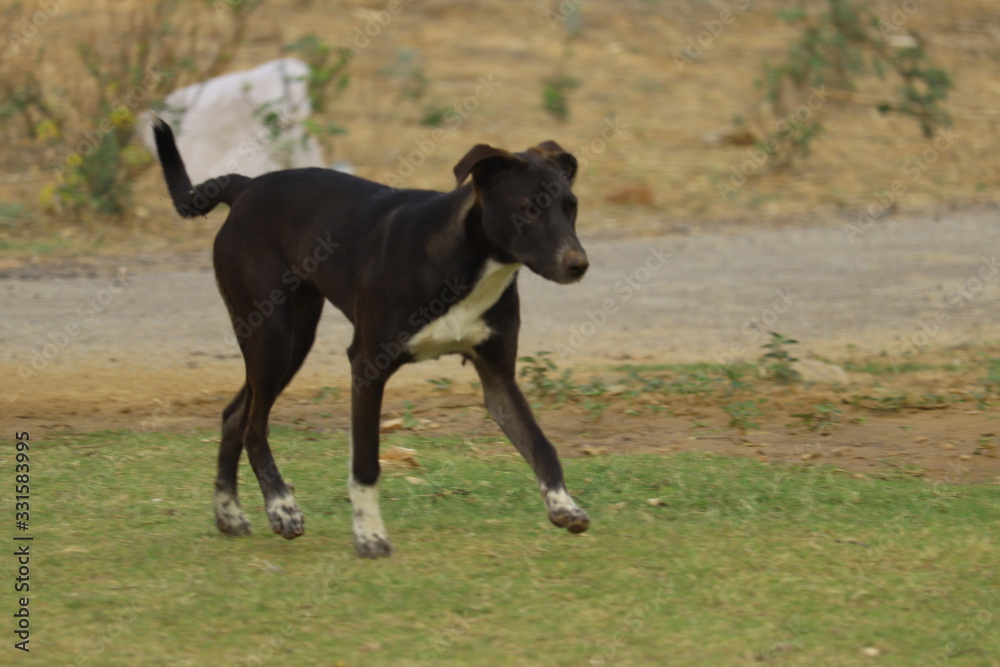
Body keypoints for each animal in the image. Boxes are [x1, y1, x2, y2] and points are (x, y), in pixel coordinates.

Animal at [154, 120, 592, 560]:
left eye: (571, 205)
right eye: (529, 208)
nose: (579, 265)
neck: (466, 261)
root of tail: (247, 186)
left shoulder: (498, 376)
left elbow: (541, 445)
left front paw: (563, 504)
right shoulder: (367, 365)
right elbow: (365, 463)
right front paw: (369, 535)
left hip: (295, 341)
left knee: (234, 416)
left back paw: (228, 512)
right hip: (270, 336)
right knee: (253, 426)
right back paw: (281, 507)